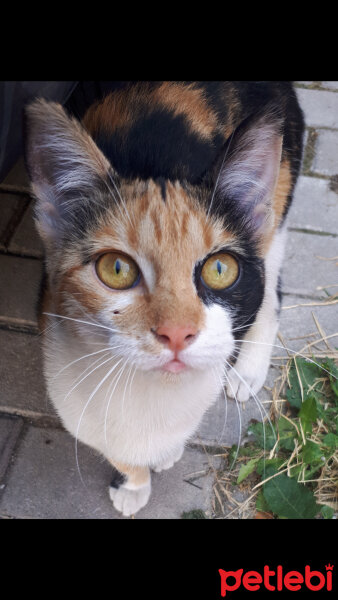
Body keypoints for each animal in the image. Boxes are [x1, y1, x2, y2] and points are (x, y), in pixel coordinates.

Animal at [23, 81, 304, 516]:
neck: (150, 392)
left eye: (219, 269)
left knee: (272, 287)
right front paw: (136, 481)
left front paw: (163, 454)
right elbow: (115, 447)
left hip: (280, 194)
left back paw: (248, 371)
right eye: (116, 269)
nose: (176, 333)